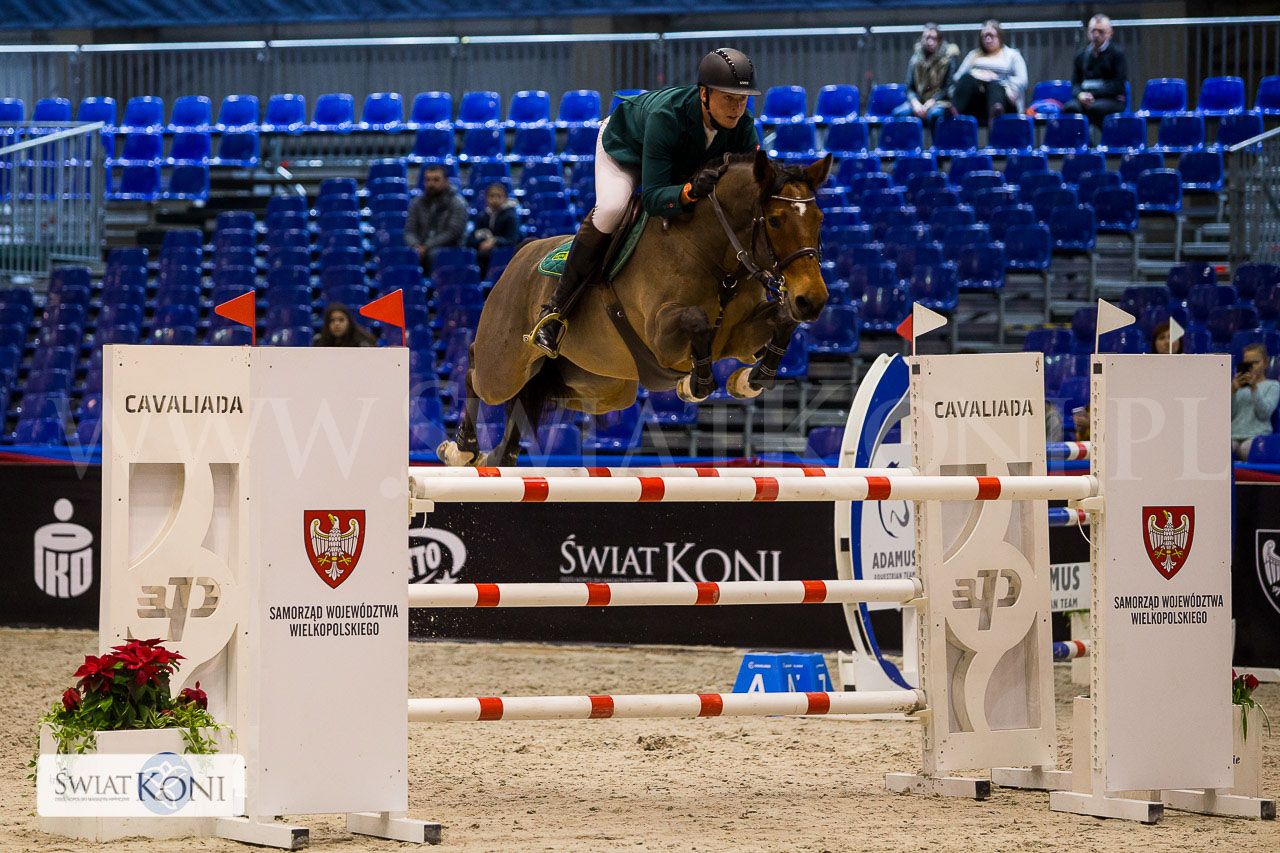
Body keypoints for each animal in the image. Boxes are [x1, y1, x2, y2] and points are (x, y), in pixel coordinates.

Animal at [438, 149, 833, 466]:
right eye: (776, 220)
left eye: (819, 220)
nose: (812, 300)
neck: (715, 255)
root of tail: (520, 254)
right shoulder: (662, 338)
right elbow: (698, 322)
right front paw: (694, 384)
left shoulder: (738, 336)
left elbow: (781, 323)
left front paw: (749, 379)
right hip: (506, 364)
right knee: (476, 370)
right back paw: (462, 448)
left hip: (600, 387)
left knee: (531, 398)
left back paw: (499, 454)